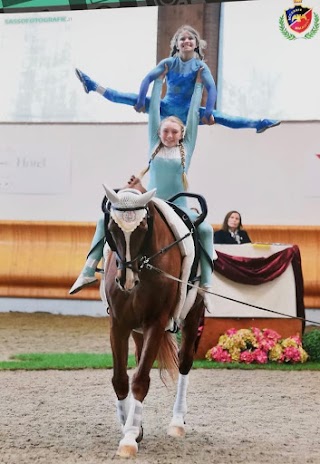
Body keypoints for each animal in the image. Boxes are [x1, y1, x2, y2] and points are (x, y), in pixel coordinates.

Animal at [102, 185, 204, 456]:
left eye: (143, 227)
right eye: (112, 227)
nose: (126, 280)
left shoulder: (156, 324)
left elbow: (140, 380)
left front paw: (128, 438)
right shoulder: (119, 324)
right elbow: (120, 379)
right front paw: (132, 428)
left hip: (193, 316)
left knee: (184, 363)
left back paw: (177, 422)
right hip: (137, 330)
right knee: (139, 359)